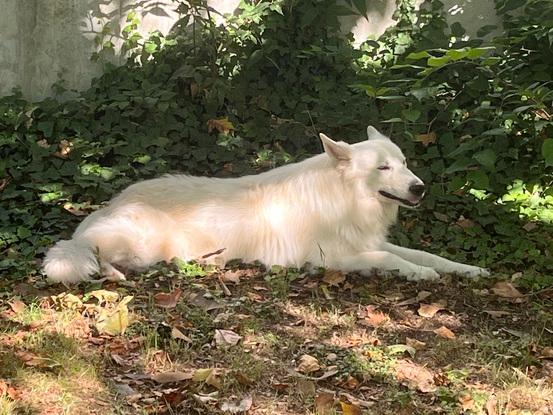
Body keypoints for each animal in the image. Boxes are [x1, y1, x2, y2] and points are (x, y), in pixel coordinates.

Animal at [43, 125, 488, 284]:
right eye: (383, 167)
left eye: (405, 163)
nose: (420, 188)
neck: (343, 196)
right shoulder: (333, 258)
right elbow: (391, 260)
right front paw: (422, 275)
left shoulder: (369, 241)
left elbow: (425, 254)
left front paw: (469, 269)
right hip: (139, 242)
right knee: (95, 254)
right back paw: (114, 273)